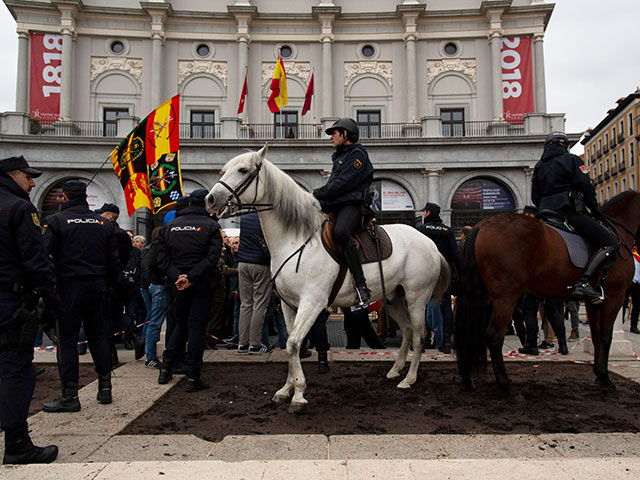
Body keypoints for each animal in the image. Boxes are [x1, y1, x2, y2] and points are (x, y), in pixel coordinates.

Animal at [206, 143, 450, 412]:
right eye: (224, 170)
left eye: (243, 169)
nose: (210, 199)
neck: (297, 239)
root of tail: (429, 242)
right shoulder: (288, 305)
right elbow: (291, 345)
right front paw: (286, 390)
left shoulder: (312, 302)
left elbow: (293, 344)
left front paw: (299, 395)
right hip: (394, 299)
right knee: (406, 331)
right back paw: (395, 371)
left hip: (417, 298)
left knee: (419, 335)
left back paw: (409, 379)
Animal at [456, 191, 640, 398]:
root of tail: (481, 226)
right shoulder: (614, 296)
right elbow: (606, 336)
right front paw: (605, 378)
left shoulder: (594, 301)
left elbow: (597, 335)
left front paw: (599, 375)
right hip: (506, 296)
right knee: (494, 335)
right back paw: (506, 386)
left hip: (483, 293)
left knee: (469, 330)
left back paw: (467, 381)